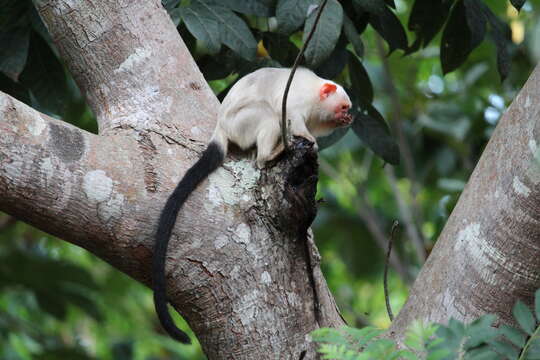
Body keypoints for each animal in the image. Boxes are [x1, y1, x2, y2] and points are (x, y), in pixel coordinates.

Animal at [153, 66, 354, 344]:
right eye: (344, 107)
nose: (349, 116)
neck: (315, 97)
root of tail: (221, 125)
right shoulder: (297, 100)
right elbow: (292, 119)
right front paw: (306, 139)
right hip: (241, 123)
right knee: (269, 115)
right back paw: (269, 155)